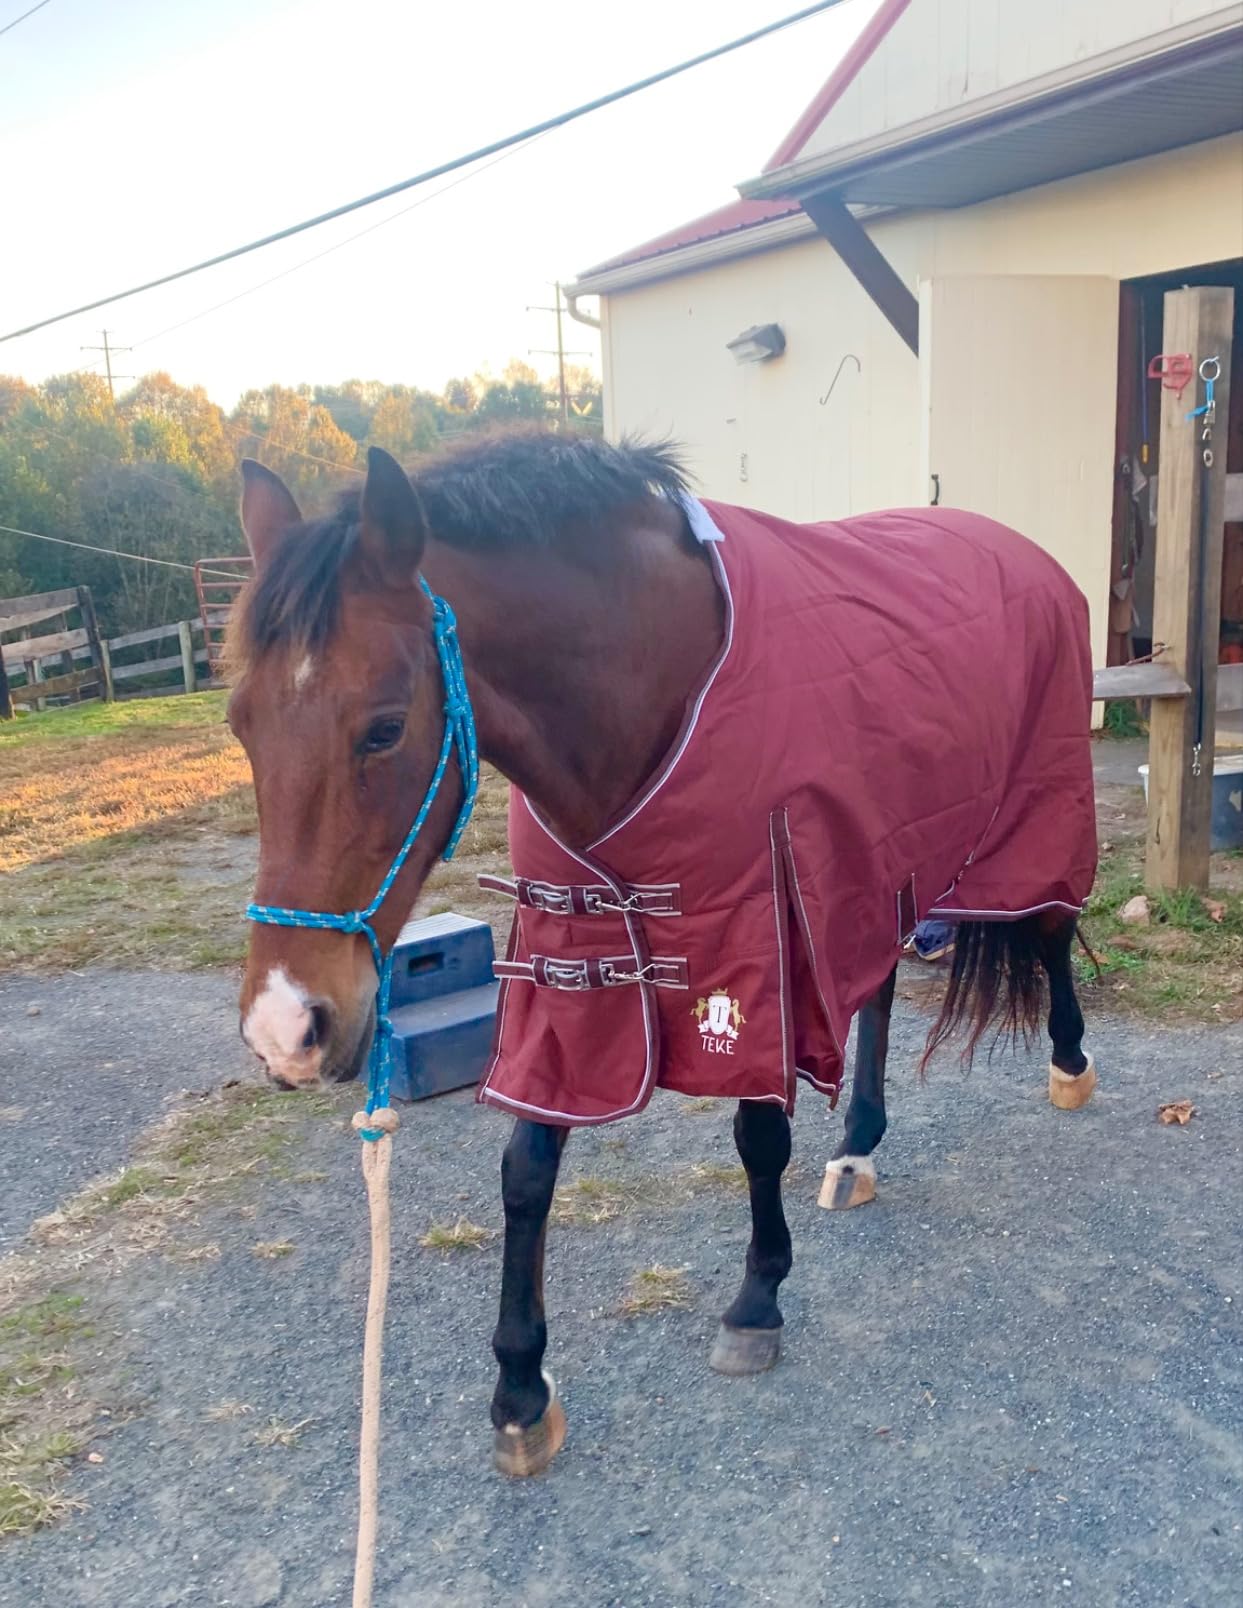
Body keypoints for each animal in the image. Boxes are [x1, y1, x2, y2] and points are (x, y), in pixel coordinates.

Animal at [226, 431, 1098, 1478]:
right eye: (239, 723)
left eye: (385, 727)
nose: (286, 1029)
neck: (646, 686)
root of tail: (1022, 552)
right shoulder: (573, 962)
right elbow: (527, 1166)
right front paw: (520, 1390)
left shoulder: (758, 940)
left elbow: (756, 1136)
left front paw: (756, 1302)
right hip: (876, 862)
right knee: (881, 981)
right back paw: (856, 1148)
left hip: (1027, 815)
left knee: (1047, 926)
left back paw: (1068, 1065)